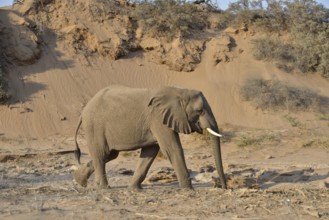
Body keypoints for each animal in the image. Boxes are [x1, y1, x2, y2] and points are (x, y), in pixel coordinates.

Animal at [72, 85, 226, 190]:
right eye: (199, 111)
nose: (224, 187)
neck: (179, 91)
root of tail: (83, 111)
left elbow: (149, 152)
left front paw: (134, 189)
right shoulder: (158, 119)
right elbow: (172, 149)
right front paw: (188, 190)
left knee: (109, 155)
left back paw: (80, 181)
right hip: (94, 126)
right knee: (101, 154)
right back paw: (104, 188)